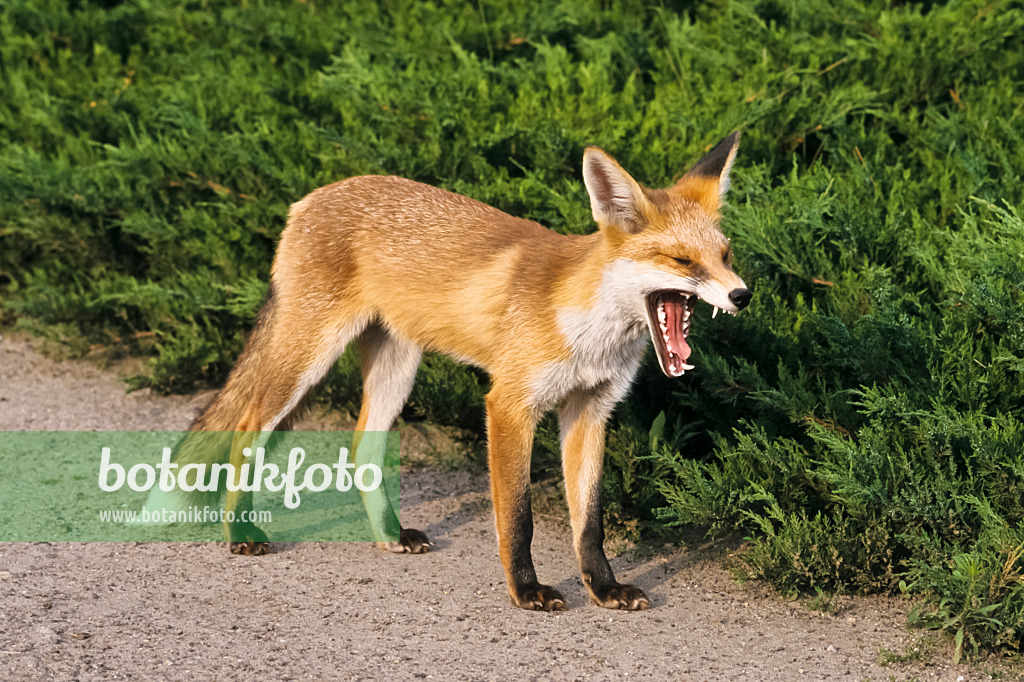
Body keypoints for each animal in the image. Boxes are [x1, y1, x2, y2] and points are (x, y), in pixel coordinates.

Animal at [169, 133, 753, 610]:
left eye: (725, 256)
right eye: (681, 261)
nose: (743, 295)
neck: (589, 332)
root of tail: (315, 194)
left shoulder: (590, 409)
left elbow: (590, 522)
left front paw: (603, 588)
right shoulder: (510, 404)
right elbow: (517, 518)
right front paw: (526, 591)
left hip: (397, 367)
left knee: (362, 446)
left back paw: (389, 535)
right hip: (308, 355)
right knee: (247, 426)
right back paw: (240, 532)